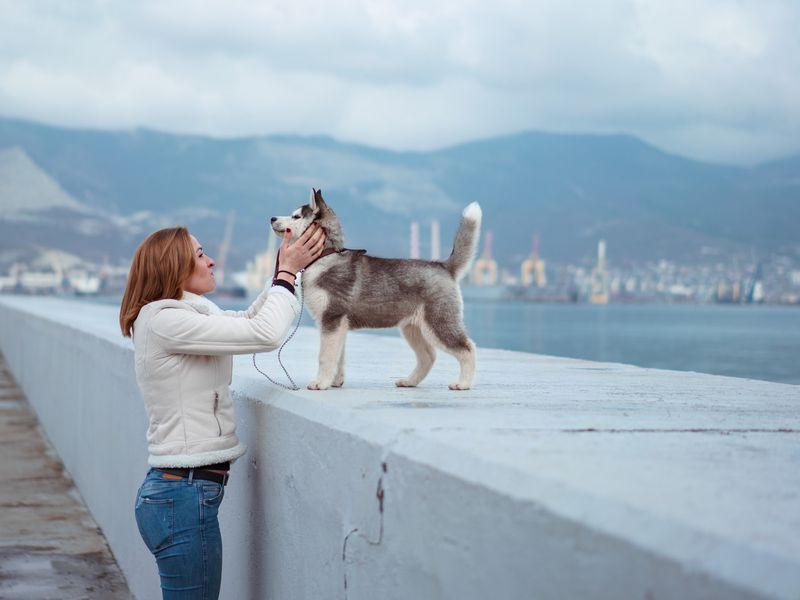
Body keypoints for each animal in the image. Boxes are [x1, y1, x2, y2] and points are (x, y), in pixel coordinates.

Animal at [268, 190, 482, 392]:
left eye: (296, 216)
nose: (272, 218)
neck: (325, 256)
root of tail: (444, 266)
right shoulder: (337, 325)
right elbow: (338, 356)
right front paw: (335, 381)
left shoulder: (332, 318)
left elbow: (325, 356)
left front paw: (321, 383)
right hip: (412, 328)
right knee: (428, 356)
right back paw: (409, 381)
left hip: (438, 322)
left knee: (467, 348)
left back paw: (463, 383)